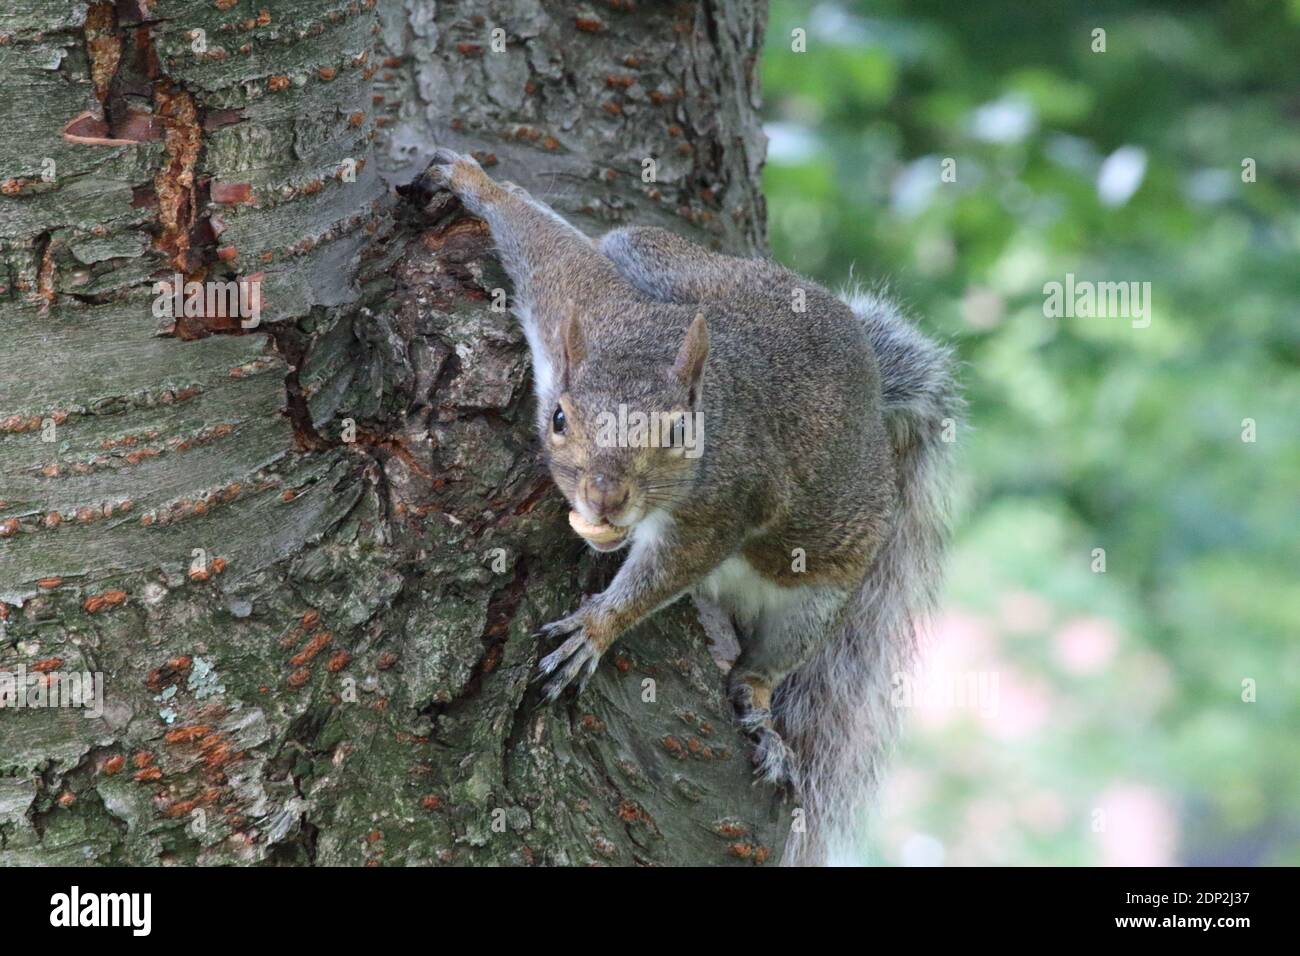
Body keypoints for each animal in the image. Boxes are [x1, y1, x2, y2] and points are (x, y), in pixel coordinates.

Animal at [410, 149, 961, 868]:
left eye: (676, 434)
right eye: (558, 419)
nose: (605, 499)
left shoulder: (726, 505)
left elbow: (667, 572)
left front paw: (597, 629)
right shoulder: (579, 303)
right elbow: (545, 248)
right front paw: (473, 183)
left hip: (816, 598)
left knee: (769, 662)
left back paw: (759, 708)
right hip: (648, 256)